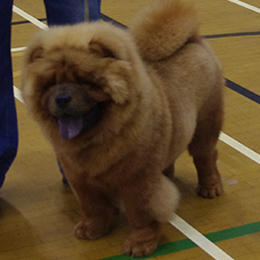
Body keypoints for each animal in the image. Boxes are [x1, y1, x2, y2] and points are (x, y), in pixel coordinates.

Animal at [21, 0, 223, 256]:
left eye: (84, 81)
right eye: (51, 83)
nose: (62, 98)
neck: (97, 138)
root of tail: (194, 39)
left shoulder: (138, 181)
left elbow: (142, 213)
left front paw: (140, 243)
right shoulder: (80, 179)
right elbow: (93, 207)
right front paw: (93, 229)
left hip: (206, 124)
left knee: (205, 157)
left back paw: (210, 187)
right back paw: (167, 173)